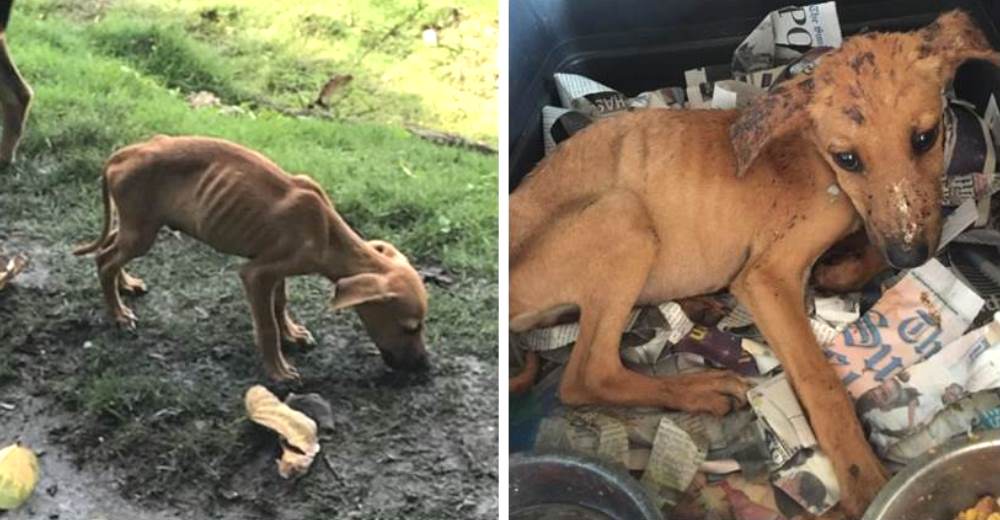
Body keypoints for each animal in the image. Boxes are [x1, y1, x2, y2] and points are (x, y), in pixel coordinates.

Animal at [73, 134, 426, 380]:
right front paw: (278, 369)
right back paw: (118, 313)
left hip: (135, 225)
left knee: (110, 249)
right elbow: (267, 326)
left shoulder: (275, 269)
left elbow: (280, 304)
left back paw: (126, 285)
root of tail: (124, 153)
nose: (425, 367)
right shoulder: (256, 275)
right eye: (410, 328)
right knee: (105, 261)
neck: (327, 233)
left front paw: (292, 333)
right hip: (141, 232)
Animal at [512, 10, 996, 516]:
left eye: (926, 138)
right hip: (621, 216)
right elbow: (821, 382)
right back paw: (701, 389)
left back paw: (701, 308)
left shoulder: (891, 223)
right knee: (588, 374)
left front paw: (840, 269)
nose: (910, 257)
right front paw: (861, 479)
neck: (816, 158)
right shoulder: (766, 277)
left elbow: (882, 235)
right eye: (847, 157)